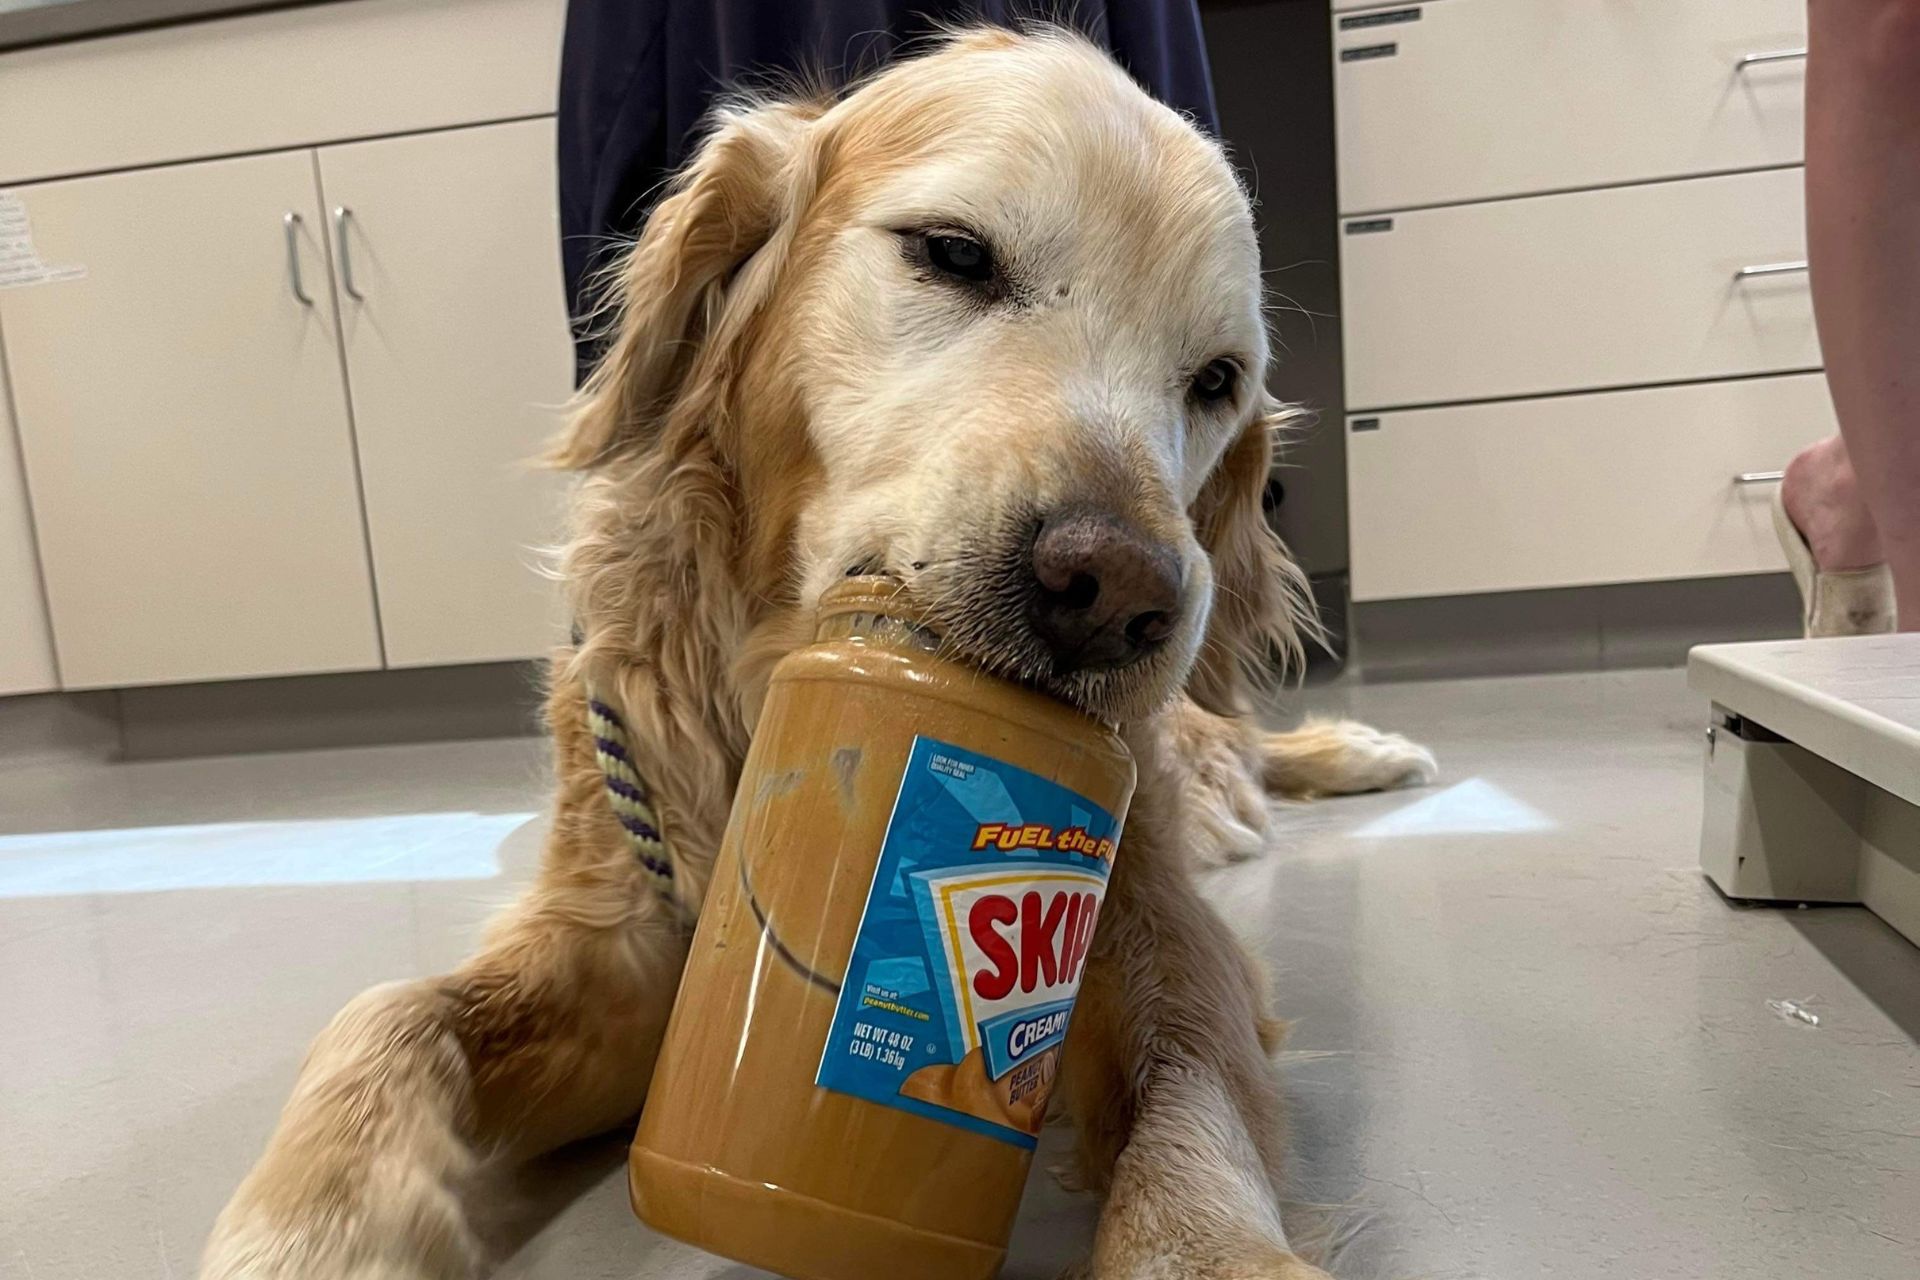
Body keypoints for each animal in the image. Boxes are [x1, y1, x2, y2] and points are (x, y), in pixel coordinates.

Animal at [202, 29, 1436, 1280]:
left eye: (1217, 379)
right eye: (954, 253)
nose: (1119, 598)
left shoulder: (1156, 927)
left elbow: (1190, 1106)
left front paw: (1208, 1246)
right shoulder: (632, 957)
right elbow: (387, 1008)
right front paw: (314, 1226)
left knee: (1243, 739)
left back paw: (1362, 752)